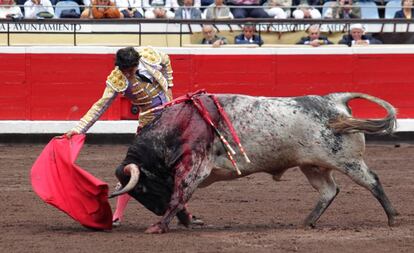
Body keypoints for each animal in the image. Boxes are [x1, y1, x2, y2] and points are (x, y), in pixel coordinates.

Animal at [109, 92, 398, 233]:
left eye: (142, 188)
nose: (156, 211)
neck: (182, 123)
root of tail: (333, 100)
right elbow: (179, 200)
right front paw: (184, 221)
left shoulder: (195, 169)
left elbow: (178, 197)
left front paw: (158, 226)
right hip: (312, 165)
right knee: (329, 190)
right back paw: (307, 222)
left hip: (347, 160)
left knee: (372, 181)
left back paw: (393, 218)